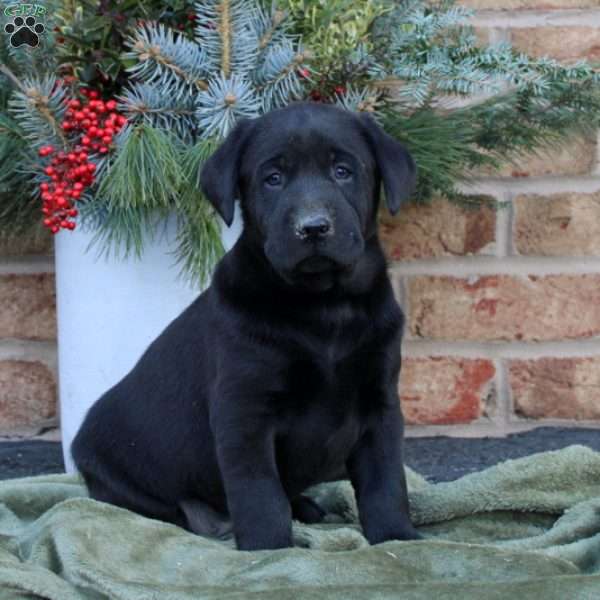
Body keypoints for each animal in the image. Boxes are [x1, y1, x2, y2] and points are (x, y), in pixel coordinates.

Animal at [71, 101, 422, 552]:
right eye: (273, 179)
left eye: (342, 170)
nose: (312, 227)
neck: (324, 306)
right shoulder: (244, 411)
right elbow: (259, 490)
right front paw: (269, 550)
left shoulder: (380, 403)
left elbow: (385, 479)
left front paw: (397, 538)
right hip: (114, 472)